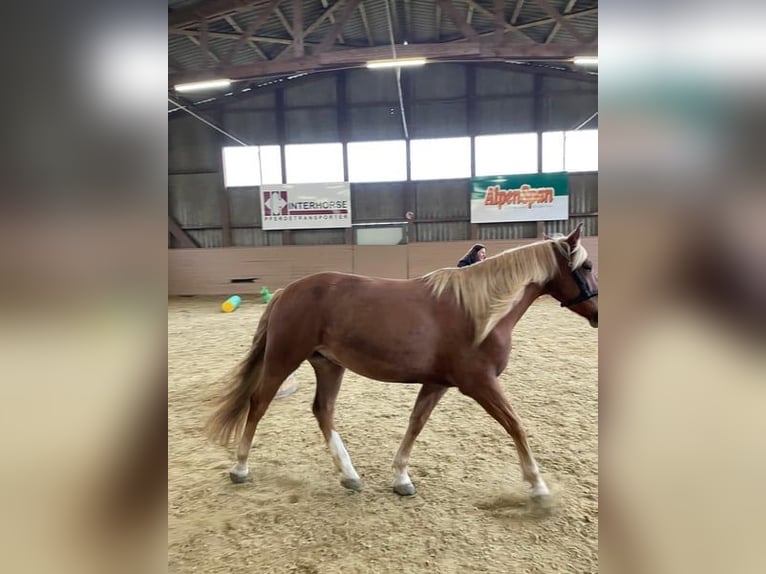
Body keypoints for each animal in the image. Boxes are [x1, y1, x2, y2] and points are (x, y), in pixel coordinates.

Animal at [206, 224, 600, 500]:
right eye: (588, 265)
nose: (598, 313)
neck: (480, 311)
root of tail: (287, 291)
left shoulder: (438, 383)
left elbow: (415, 424)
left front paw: (401, 478)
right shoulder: (480, 382)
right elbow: (516, 426)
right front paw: (537, 486)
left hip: (328, 364)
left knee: (323, 411)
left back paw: (349, 475)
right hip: (284, 358)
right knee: (258, 403)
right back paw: (240, 468)